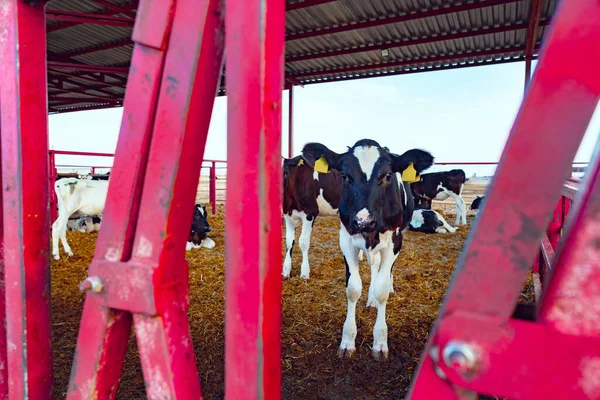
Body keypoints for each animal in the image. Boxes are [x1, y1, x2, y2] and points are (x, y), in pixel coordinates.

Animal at [302, 138, 434, 360]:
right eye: (345, 176)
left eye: (387, 175)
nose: (364, 221)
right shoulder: (346, 238)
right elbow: (353, 288)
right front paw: (348, 341)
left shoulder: (395, 240)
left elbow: (382, 289)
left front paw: (380, 342)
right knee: (375, 266)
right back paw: (370, 299)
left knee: (383, 272)